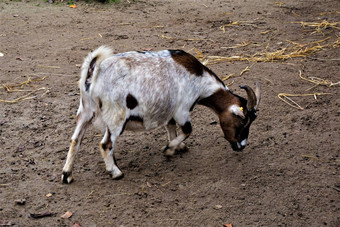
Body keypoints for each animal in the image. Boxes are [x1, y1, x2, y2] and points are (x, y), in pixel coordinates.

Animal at [61, 45, 260, 183]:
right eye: (243, 122)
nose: (241, 146)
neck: (199, 80)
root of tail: (94, 72)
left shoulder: (171, 110)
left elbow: (171, 127)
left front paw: (177, 147)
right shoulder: (183, 109)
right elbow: (188, 130)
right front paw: (169, 149)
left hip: (86, 111)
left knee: (75, 139)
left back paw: (67, 174)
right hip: (116, 116)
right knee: (105, 144)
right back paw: (115, 172)